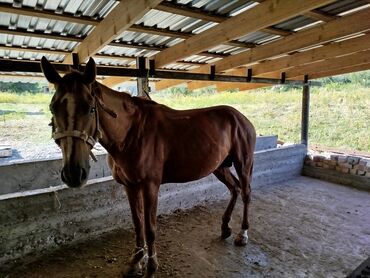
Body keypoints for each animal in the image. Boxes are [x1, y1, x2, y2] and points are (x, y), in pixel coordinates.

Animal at [40, 57, 254, 276]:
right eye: (53, 108)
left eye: (91, 108)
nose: (73, 174)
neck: (132, 134)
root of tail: (240, 118)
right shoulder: (130, 186)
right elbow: (138, 224)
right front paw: (136, 260)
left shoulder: (150, 186)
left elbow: (150, 228)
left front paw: (151, 265)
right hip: (220, 167)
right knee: (234, 189)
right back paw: (225, 228)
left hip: (243, 163)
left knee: (245, 192)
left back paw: (242, 234)